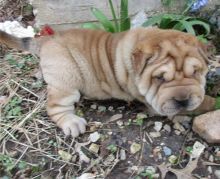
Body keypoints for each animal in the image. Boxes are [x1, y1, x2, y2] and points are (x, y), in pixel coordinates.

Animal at [0, 27, 209, 137]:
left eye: (196, 72)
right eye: (159, 78)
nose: (182, 100)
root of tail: (47, 40)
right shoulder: (154, 102)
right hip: (66, 79)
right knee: (55, 107)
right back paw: (72, 123)